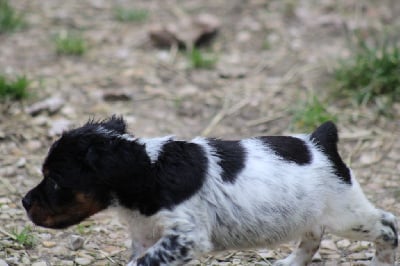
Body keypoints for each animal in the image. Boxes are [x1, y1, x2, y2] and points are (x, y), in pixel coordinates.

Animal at [23, 117, 398, 266]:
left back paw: (381, 261)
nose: (24, 202)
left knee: (387, 225)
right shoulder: (145, 235)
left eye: (55, 180)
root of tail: (320, 141)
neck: (150, 170)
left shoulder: (186, 236)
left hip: (347, 214)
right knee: (313, 235)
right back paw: (292, 262)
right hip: (311, 212)